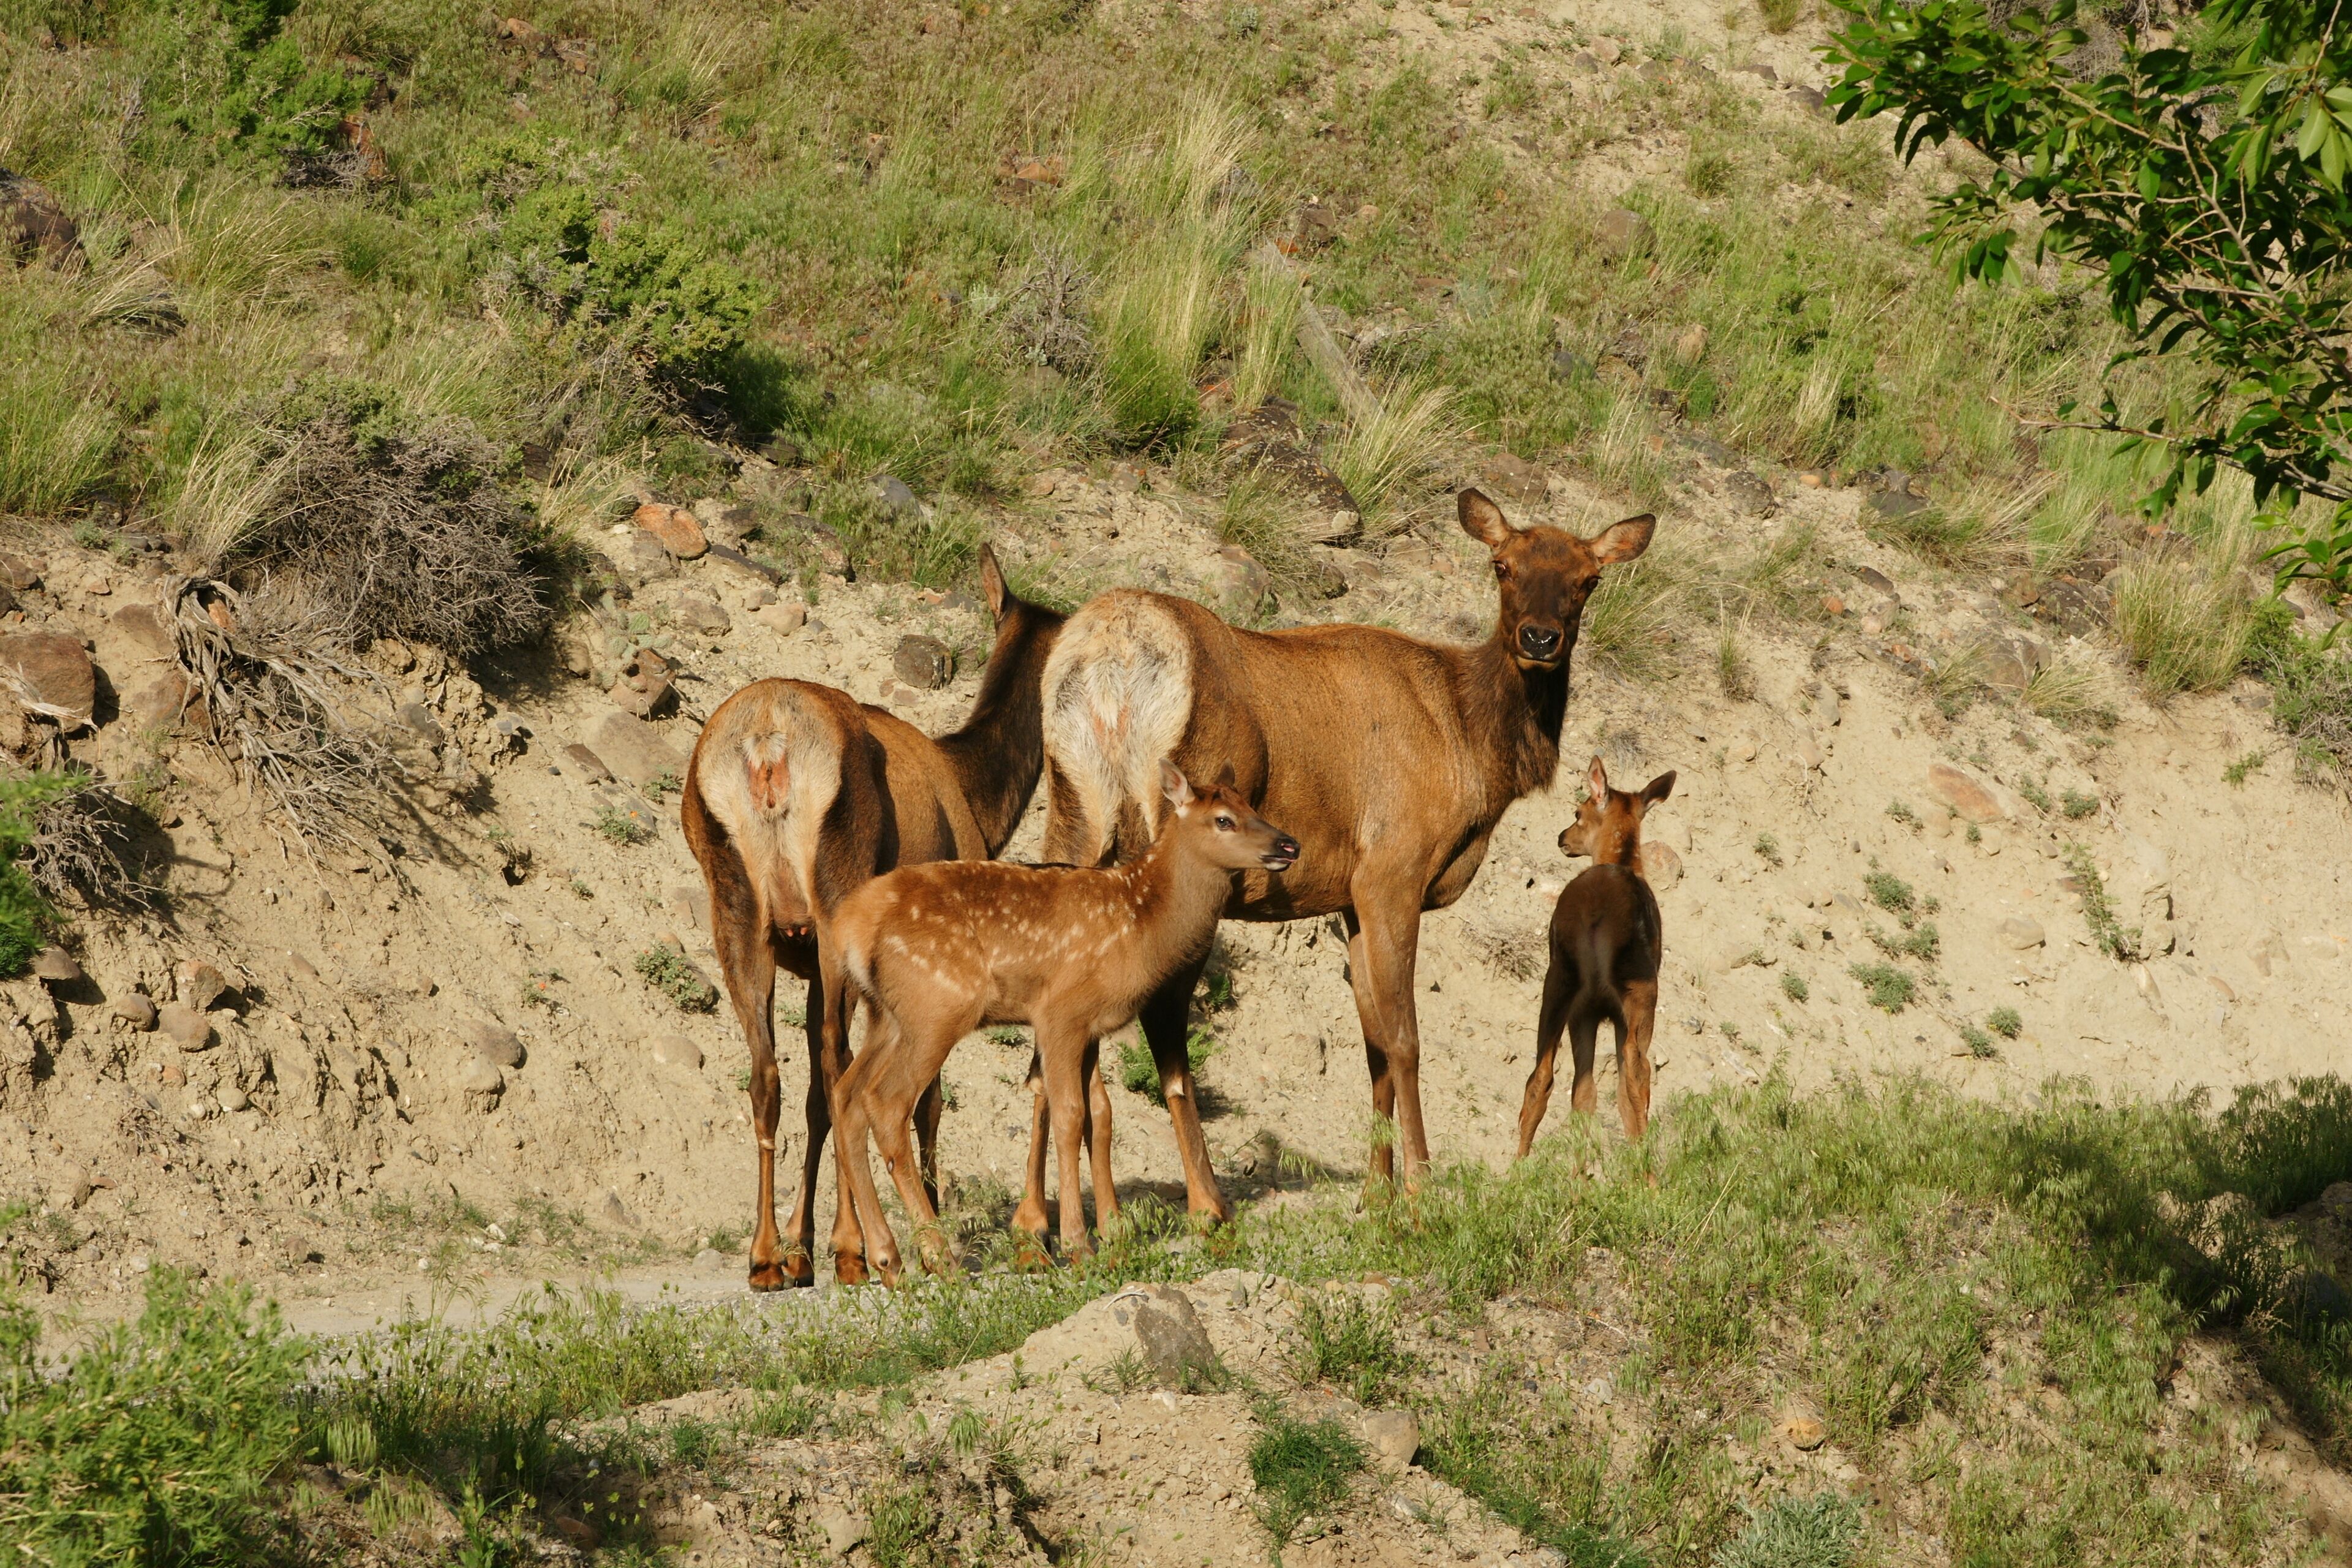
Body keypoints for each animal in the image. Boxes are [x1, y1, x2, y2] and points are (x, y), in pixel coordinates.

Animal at [680, 544, 1063, 1290]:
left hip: (737, 908)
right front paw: (907, 1230)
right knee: (839, 1070)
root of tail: (767, 745)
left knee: (768, 1074)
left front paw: (801, 1246)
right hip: (837, 895)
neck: (979, 801)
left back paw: (765, 1255)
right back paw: (862, 1248)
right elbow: (927, 1098)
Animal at [826, 762, 1299, 1283]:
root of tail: (849, 927)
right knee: (885, 1104)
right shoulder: (1062, 1012)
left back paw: (887, 1259)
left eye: (1252, 807)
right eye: (1223, 820)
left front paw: (1108, 1239)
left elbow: (1098, 1116)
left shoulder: (1090, 1027)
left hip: (886, 1015)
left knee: (846, 1096)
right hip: (935, 1007)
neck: (1141, 928)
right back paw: (939, 1258)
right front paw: (1076, 1243)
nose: (1289, 845)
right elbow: (1071, 1116)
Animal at [1028, 488, 1653, 1220]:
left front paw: (1375, 1191)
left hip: (1071, 813)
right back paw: (1205, 1204)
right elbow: (1405, 1039)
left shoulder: (1349, 897)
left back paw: (1043, 1221)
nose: (1540, 639)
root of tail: (1115, 663)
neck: (1473, 749)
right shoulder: (1393, 868)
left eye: (1588, 579)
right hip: (1187, 852)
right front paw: (1418, 1187)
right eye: (1503, 565)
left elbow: (1373, 1044)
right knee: (1160, 1024)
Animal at [1519, 756, 1674, 1153]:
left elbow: (1585, 1095)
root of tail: (1597, 913)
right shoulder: (1605, 1014)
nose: (1562, 838)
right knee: (1634, 1069)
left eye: (1578, 811)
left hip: (1567, 983)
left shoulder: (1586, 1014)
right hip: (1631, 989)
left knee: (1547, 1075)